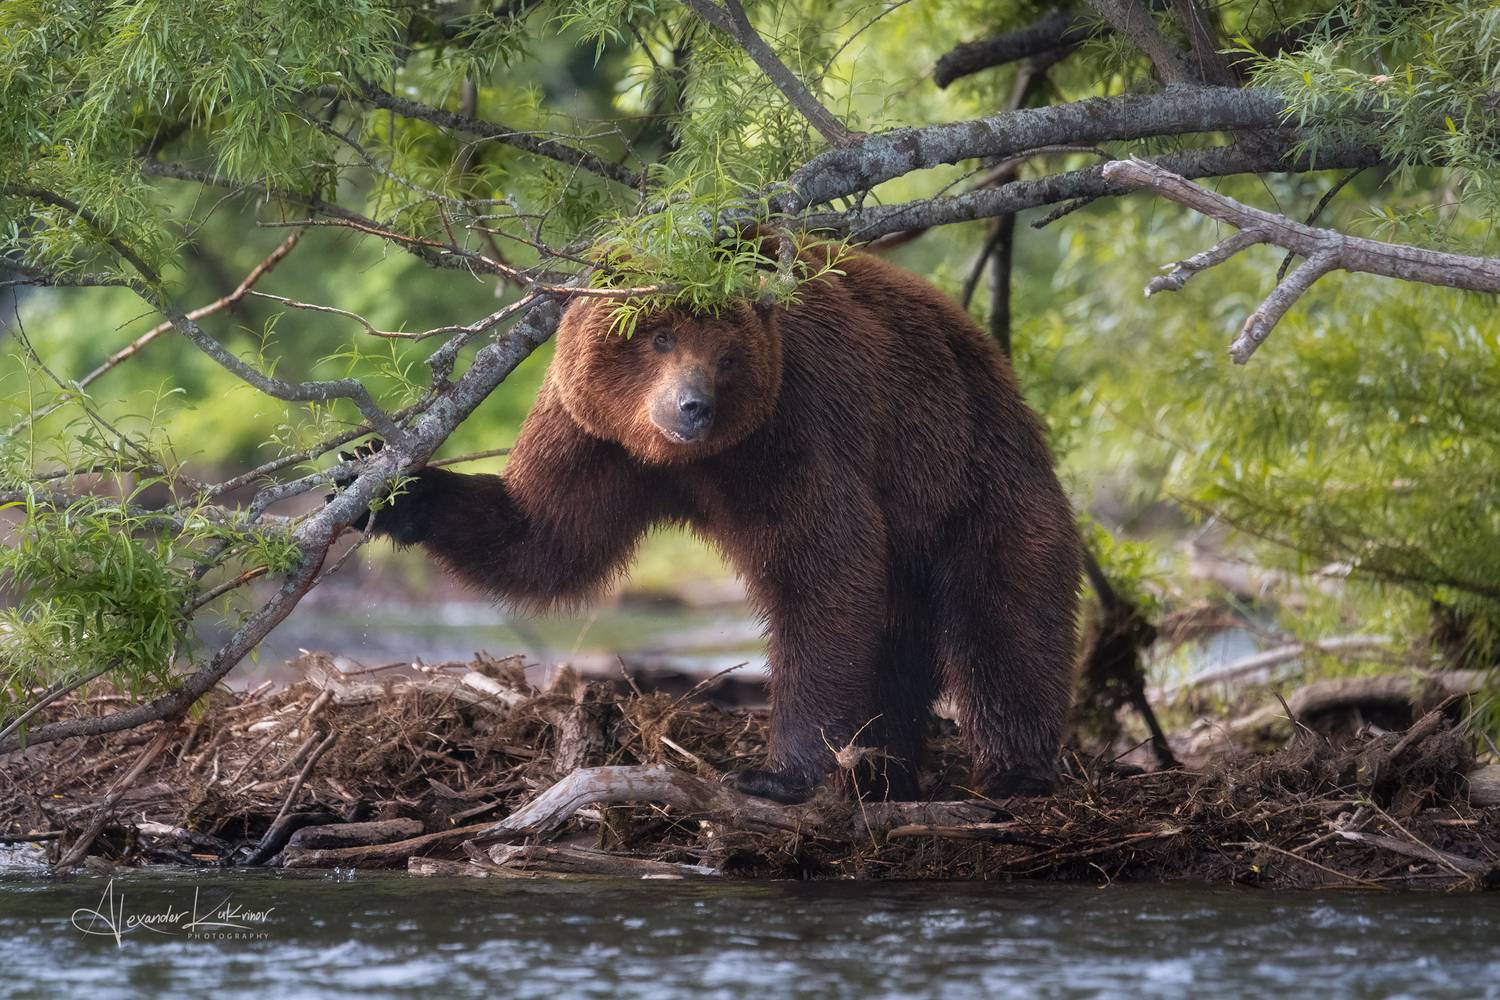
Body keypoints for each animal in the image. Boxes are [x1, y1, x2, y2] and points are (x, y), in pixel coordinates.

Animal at [350, 240, 1081, 804]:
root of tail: (992, 359)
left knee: (1004, 619)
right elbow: (547, 536)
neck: (683, 461)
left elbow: (824, 570)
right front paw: (389, 488)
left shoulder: (794, 426)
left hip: (970, 480)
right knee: (903, 642)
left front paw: (775, 773)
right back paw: (883, 770)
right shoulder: (591, 435)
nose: (691, 405)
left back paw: (1012, 771)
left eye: (727, 355)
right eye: (658, 335)